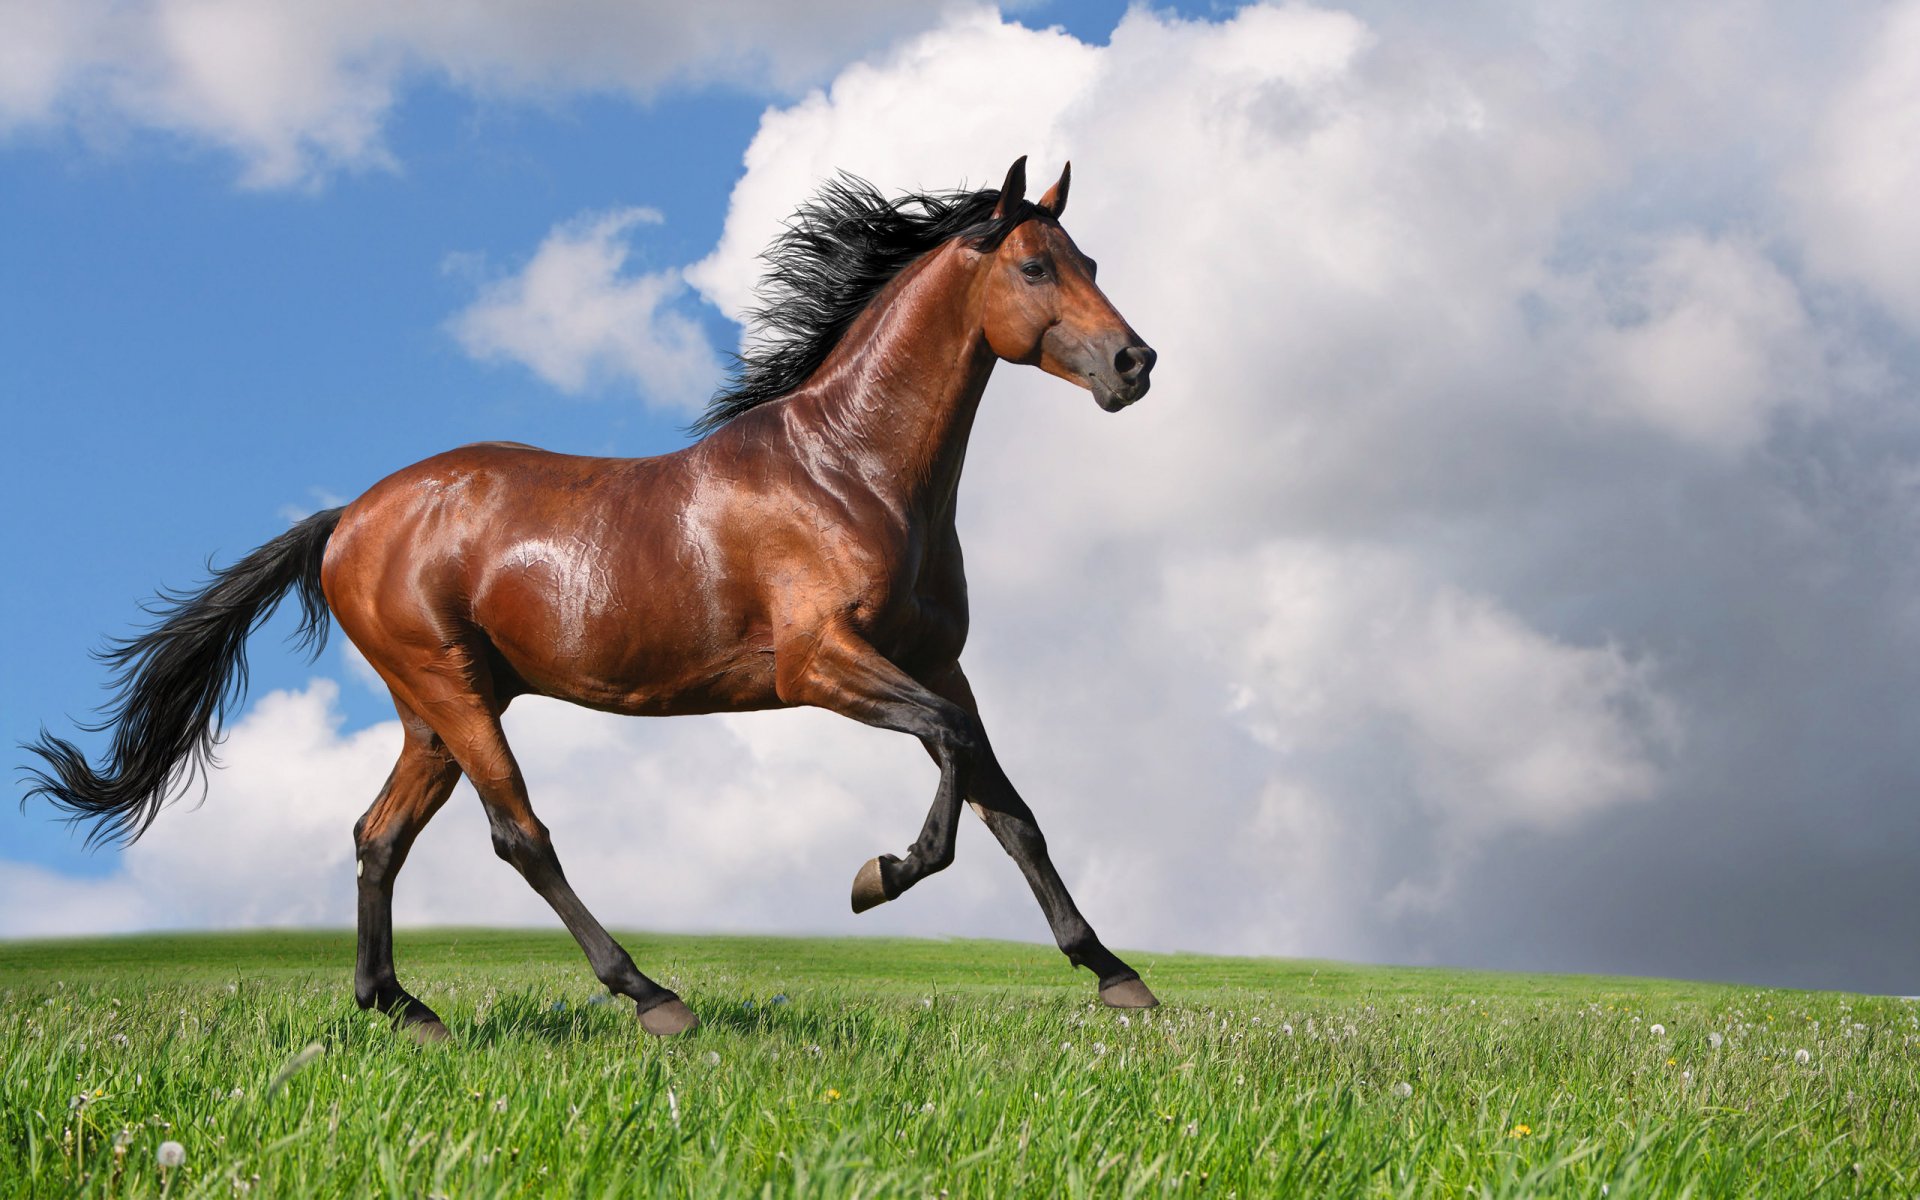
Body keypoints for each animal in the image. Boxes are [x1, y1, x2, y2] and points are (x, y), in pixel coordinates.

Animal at [25, 156, 1160, 1039]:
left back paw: (404, 1009)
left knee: (379, 835)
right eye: (1035, 264)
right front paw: (877, 875)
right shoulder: (821, 664)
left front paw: (1116, 975)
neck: (853, 471)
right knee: (517, 833)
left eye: (1093, 263)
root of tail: (349, 517)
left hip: (435, 709)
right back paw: (651, 996)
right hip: (451, 690)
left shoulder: (937, 661)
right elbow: (956, 764)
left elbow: (1010, 807)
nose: (1135, 362)